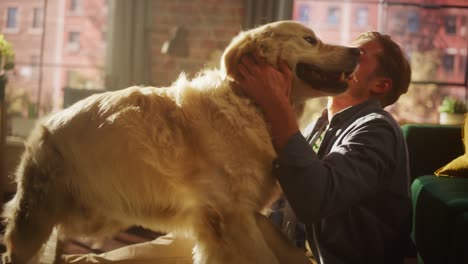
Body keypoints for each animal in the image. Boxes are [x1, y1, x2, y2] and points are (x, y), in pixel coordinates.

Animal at [2, 20, 358, 264]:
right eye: (310, 40)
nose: (357, 51)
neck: (251, 103)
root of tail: (46, 125)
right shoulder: (230, 217)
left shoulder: (244, 215)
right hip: (38, 218)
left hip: (91, 216)